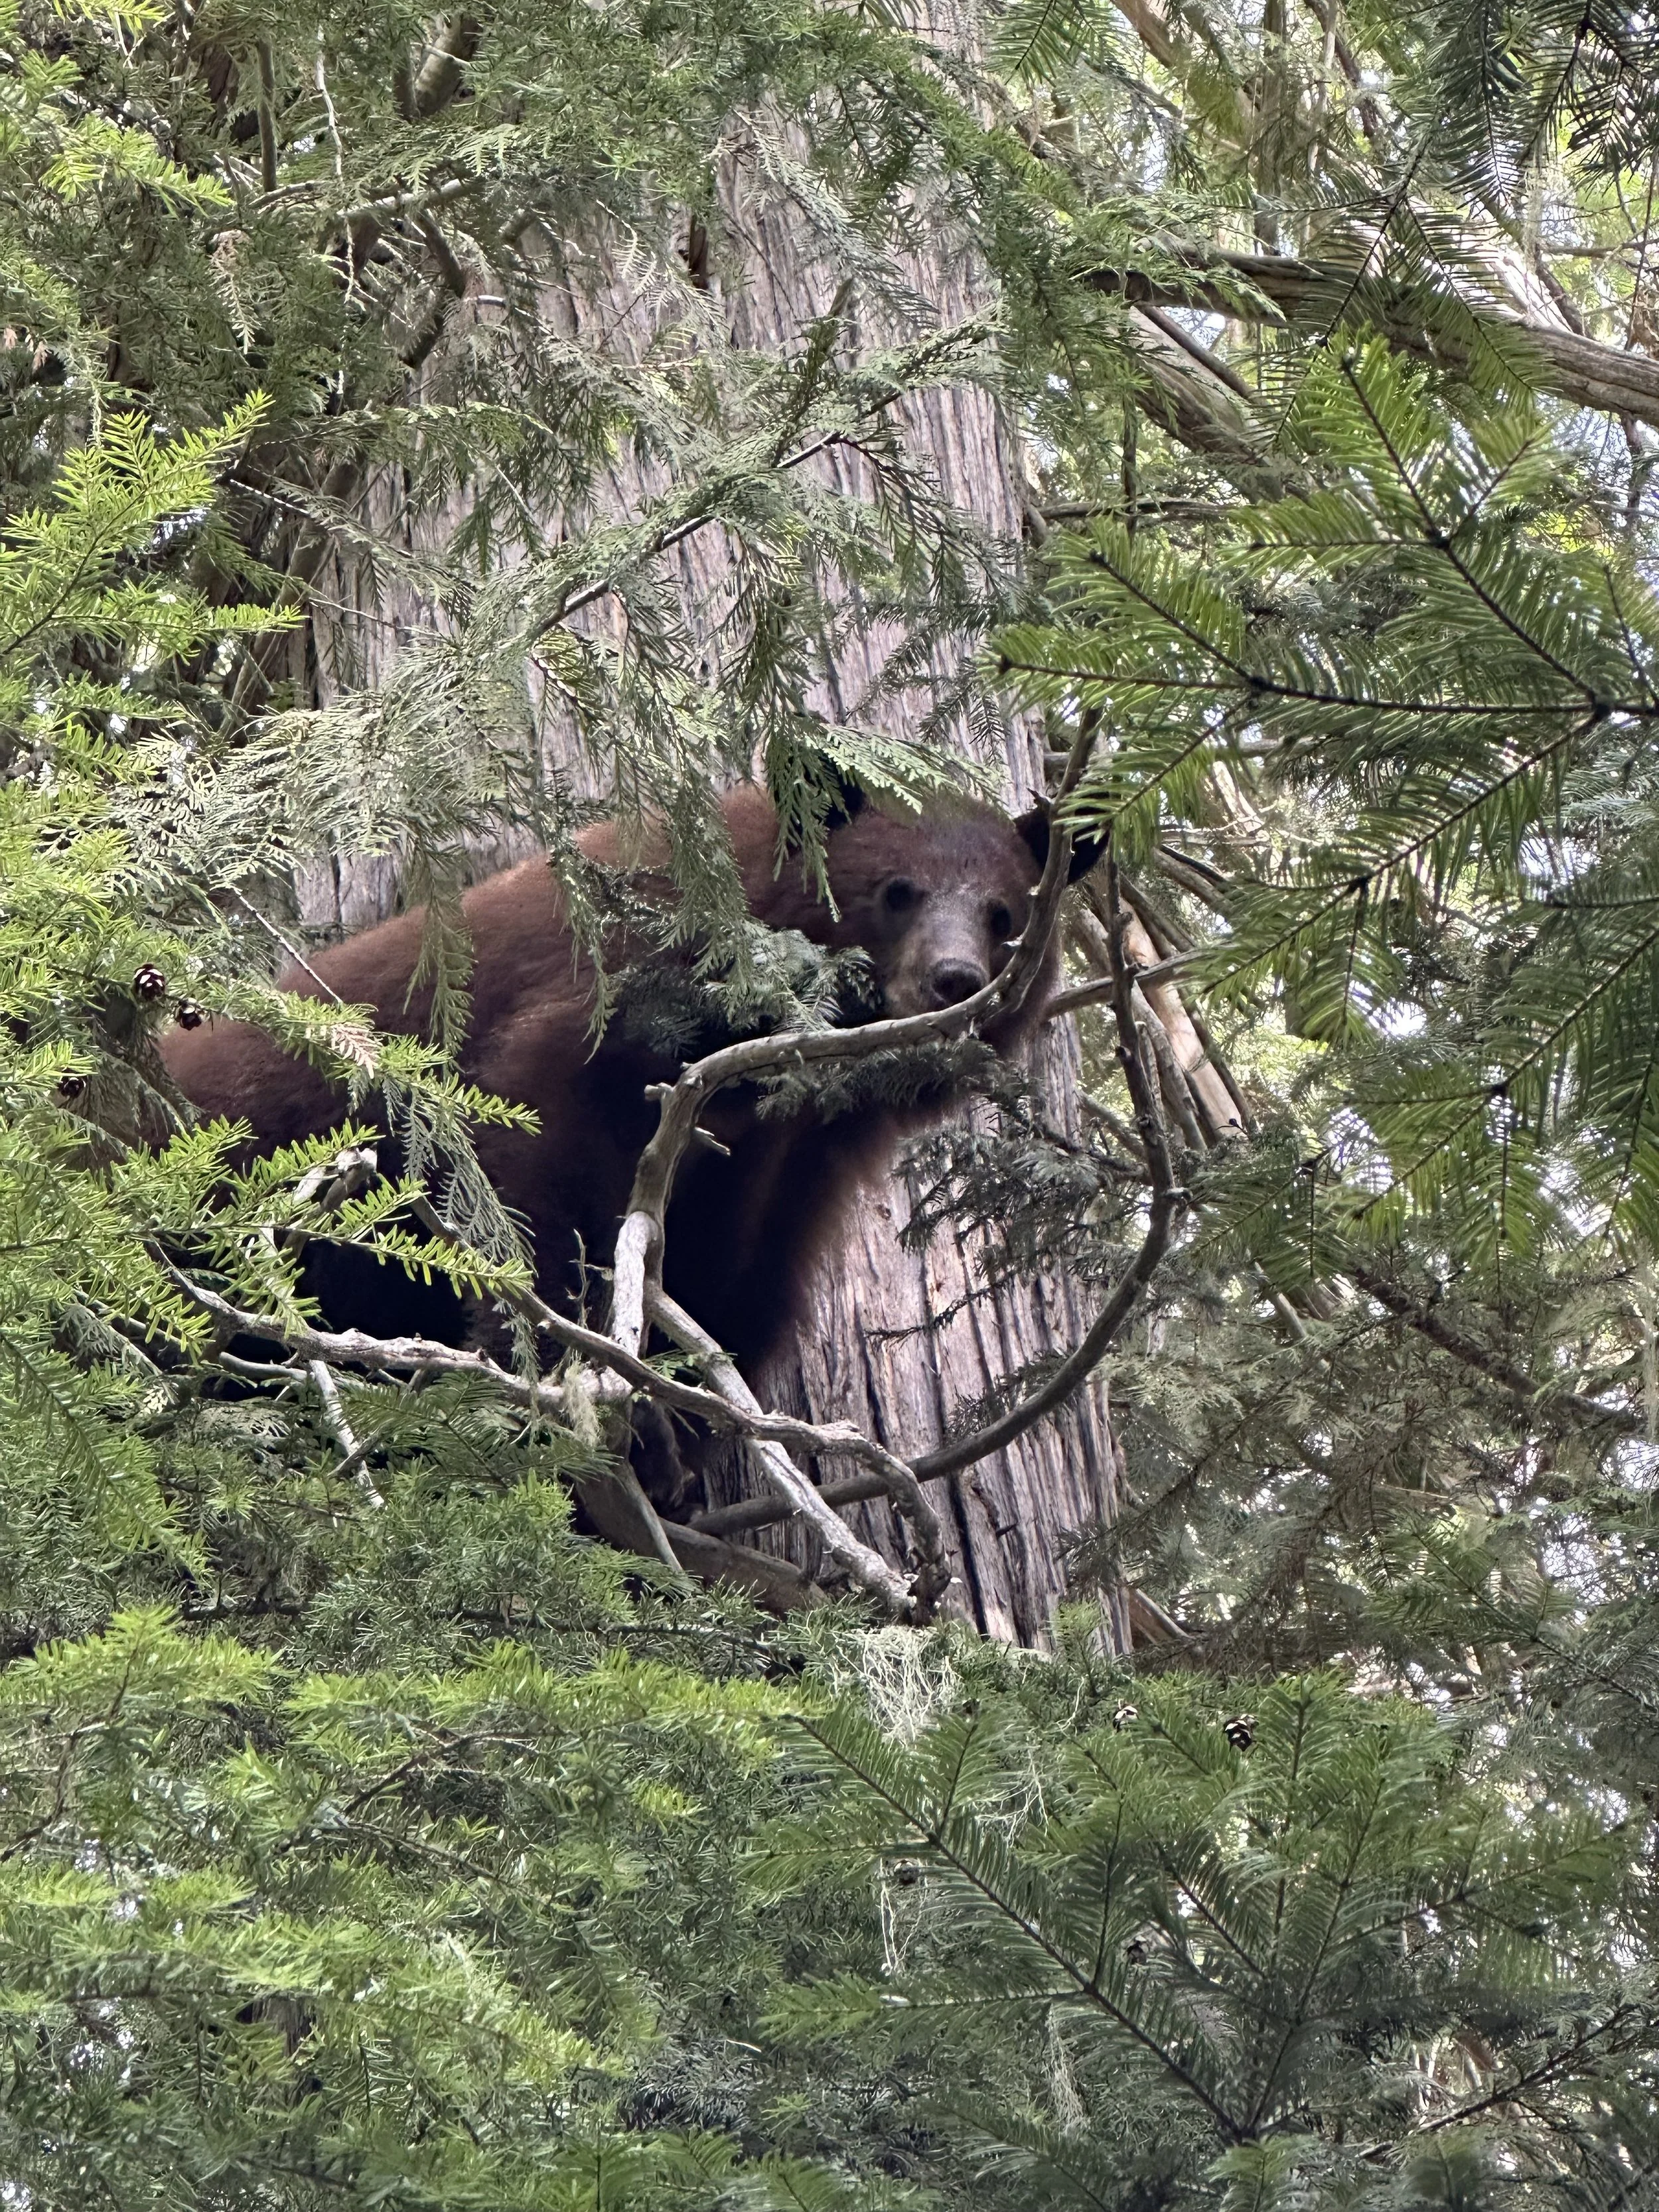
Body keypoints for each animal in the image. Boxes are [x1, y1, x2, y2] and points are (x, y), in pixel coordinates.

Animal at [161, 782, 1100, 1374]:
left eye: (1004, 914)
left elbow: (733, 1268)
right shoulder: (604, 1002)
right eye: (898, 890)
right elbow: (528, 1157)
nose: (954, 979)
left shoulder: (786, 1156)